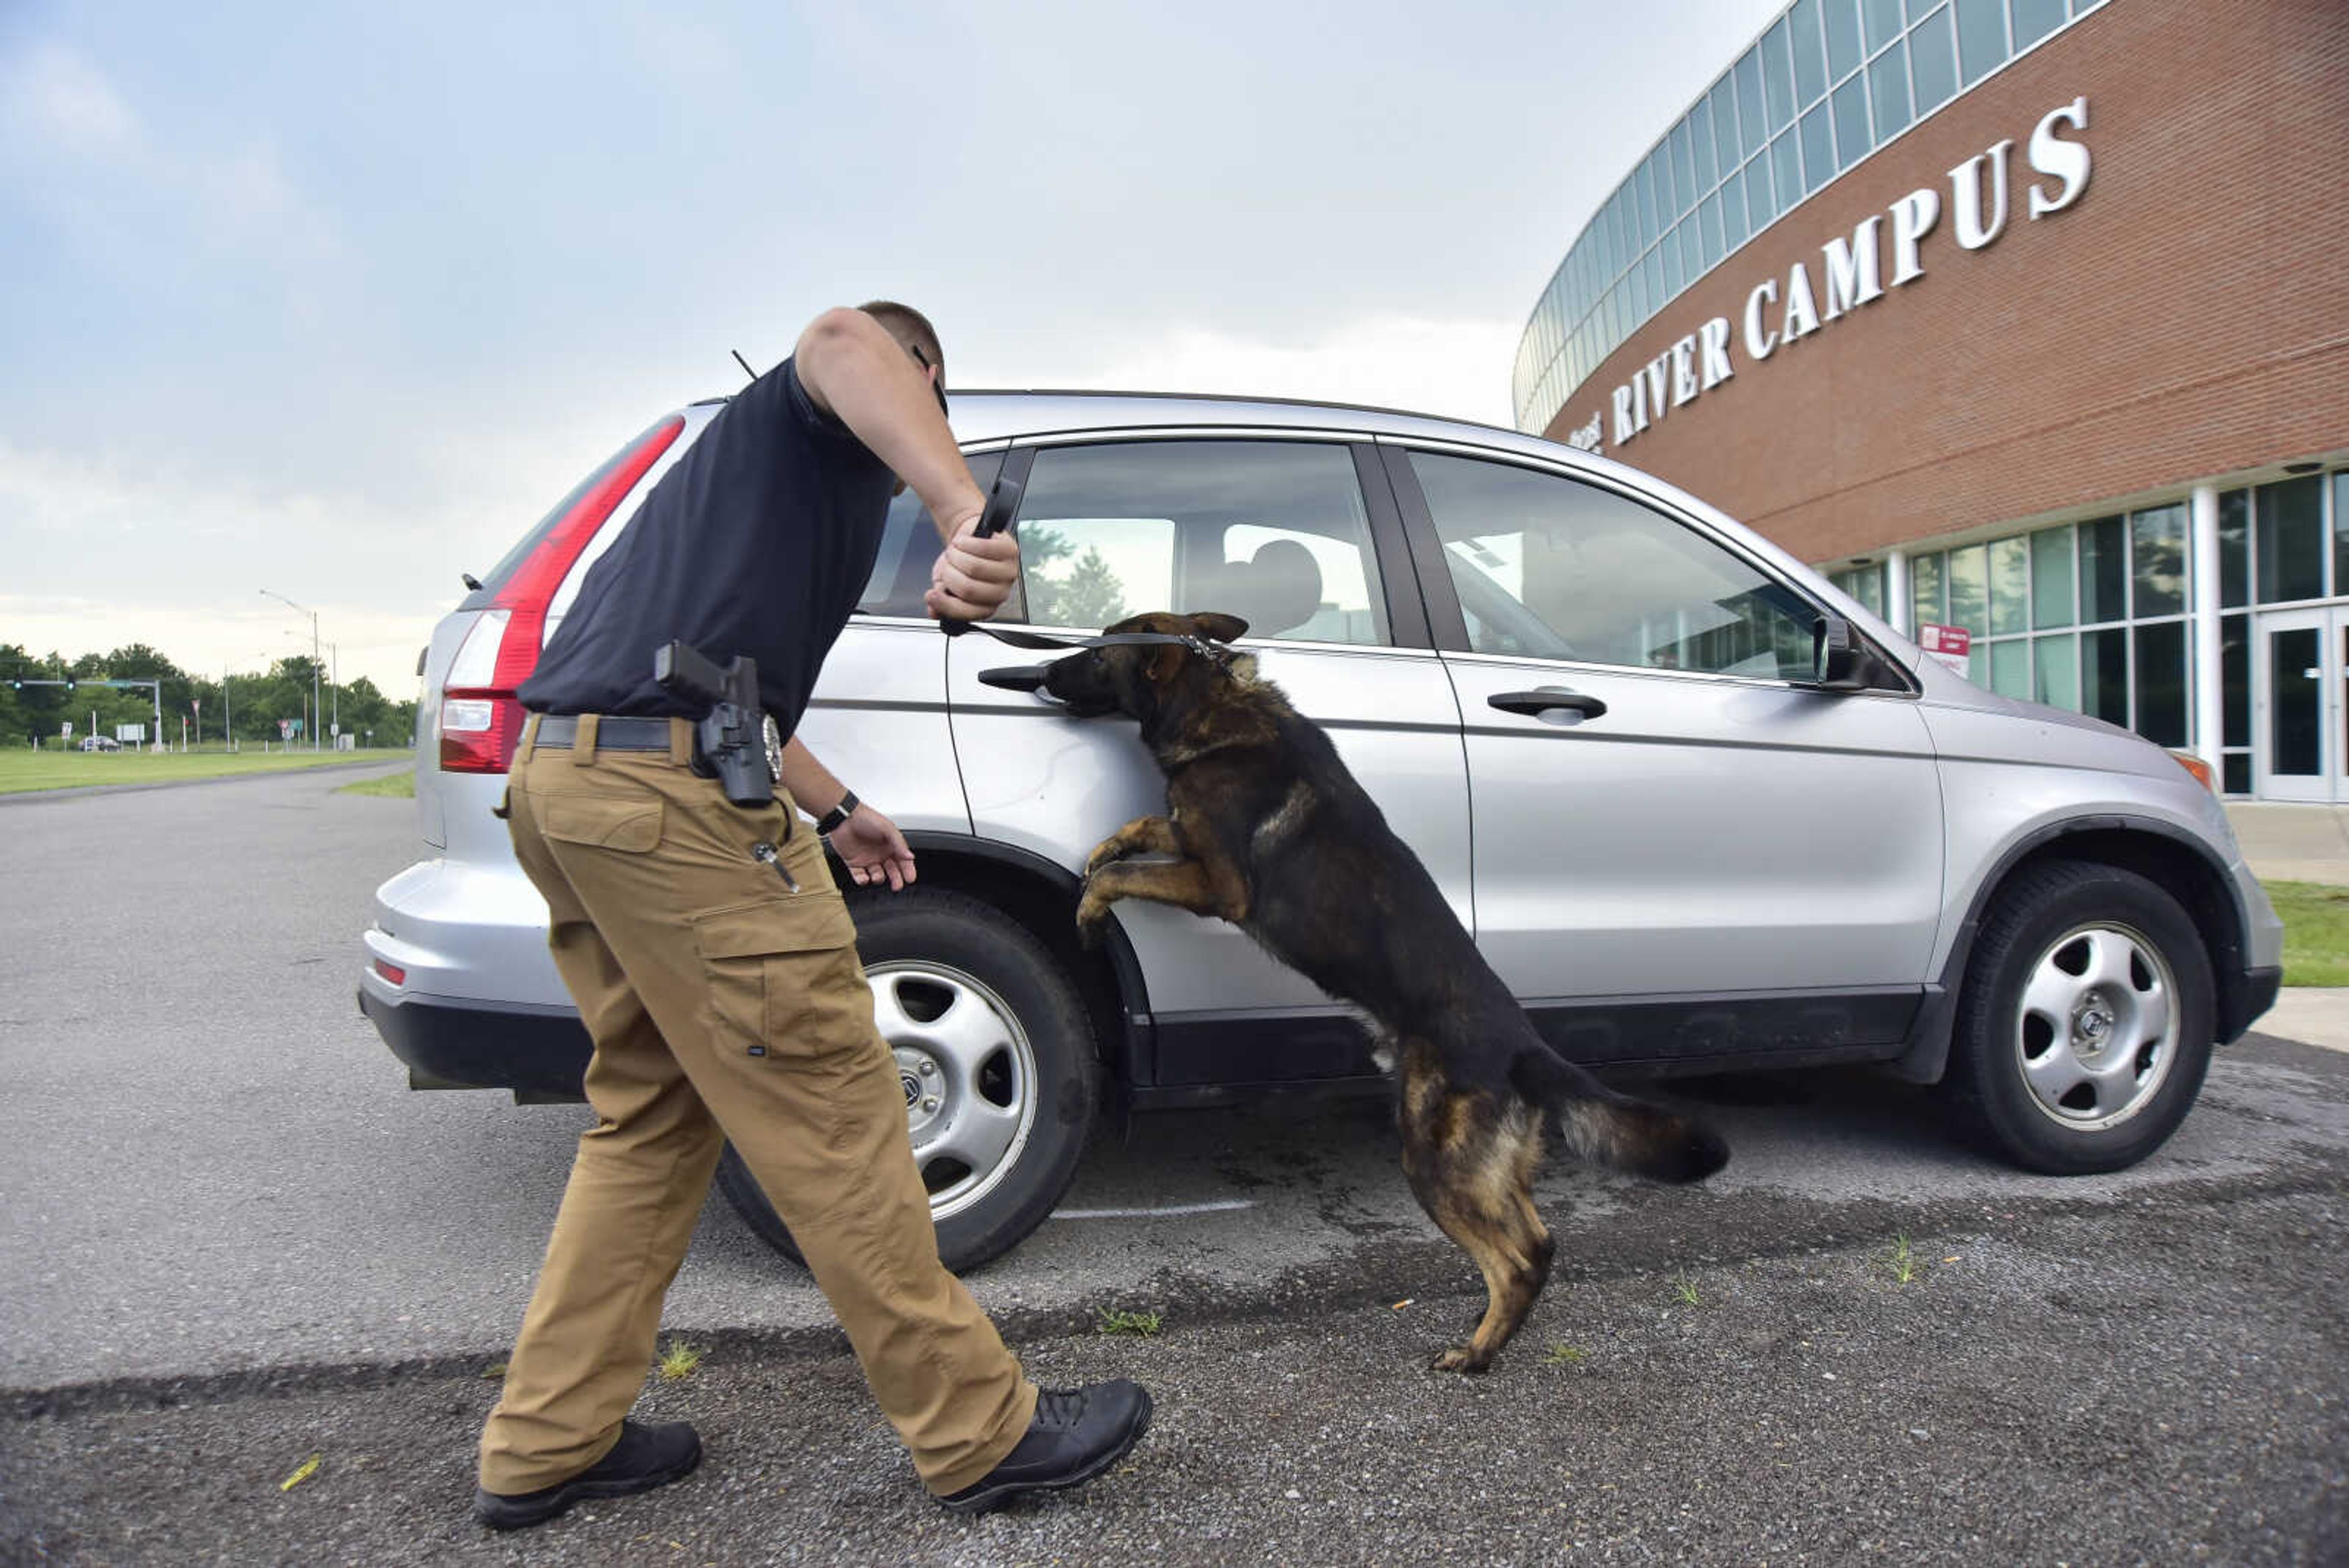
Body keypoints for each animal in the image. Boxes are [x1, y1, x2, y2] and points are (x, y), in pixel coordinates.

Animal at [1047, 611, 1729, 1373]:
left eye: (1095, 656)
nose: (1037, 672)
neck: (1215, 702)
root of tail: (1525, 1046)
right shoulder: (1188, 838)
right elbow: (1142, 829)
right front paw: (1105, 846)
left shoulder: (1218, 884)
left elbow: (1124, 875)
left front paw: (1090, 904)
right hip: (1487, 1167)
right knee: (1541, 1242)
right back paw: (1490, 1338)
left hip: (1435, 1159)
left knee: (1516, 1259)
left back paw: (1474, 1355)